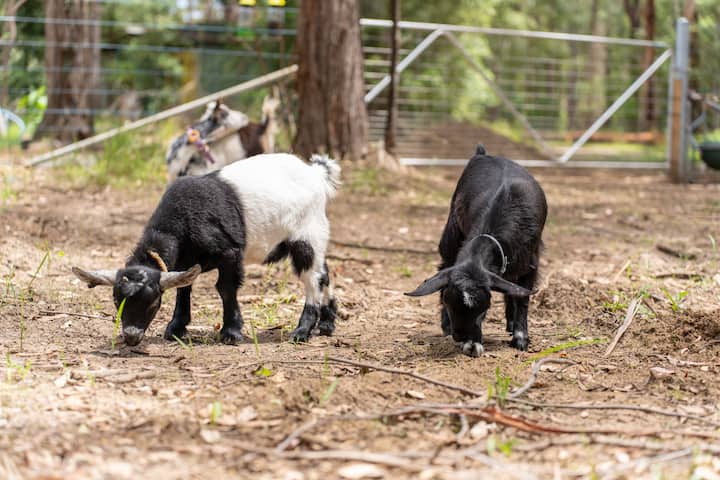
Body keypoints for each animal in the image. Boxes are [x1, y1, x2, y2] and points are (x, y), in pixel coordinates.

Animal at [73, 153, 340, 347]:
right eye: (115, 299)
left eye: (153, 302)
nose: (130, 336)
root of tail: (316, 173)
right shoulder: (185, 261)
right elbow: (183, 288)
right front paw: (176, 328)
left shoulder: (230, 253)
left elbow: (225, 288)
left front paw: (231, 332)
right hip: (317, 236)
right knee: (324, 273)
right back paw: (327, 325)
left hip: (307, 234)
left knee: (313, 279)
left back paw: (302, 331)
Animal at [406, 144, 547, 356]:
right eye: (449, 303)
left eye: (483, 308)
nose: (460, 336)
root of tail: (482, 154)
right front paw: (471, 343)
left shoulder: (531, 263)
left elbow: (522, 297)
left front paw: (520, 338)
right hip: (451, 233)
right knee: (444, 264)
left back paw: (511, 324)